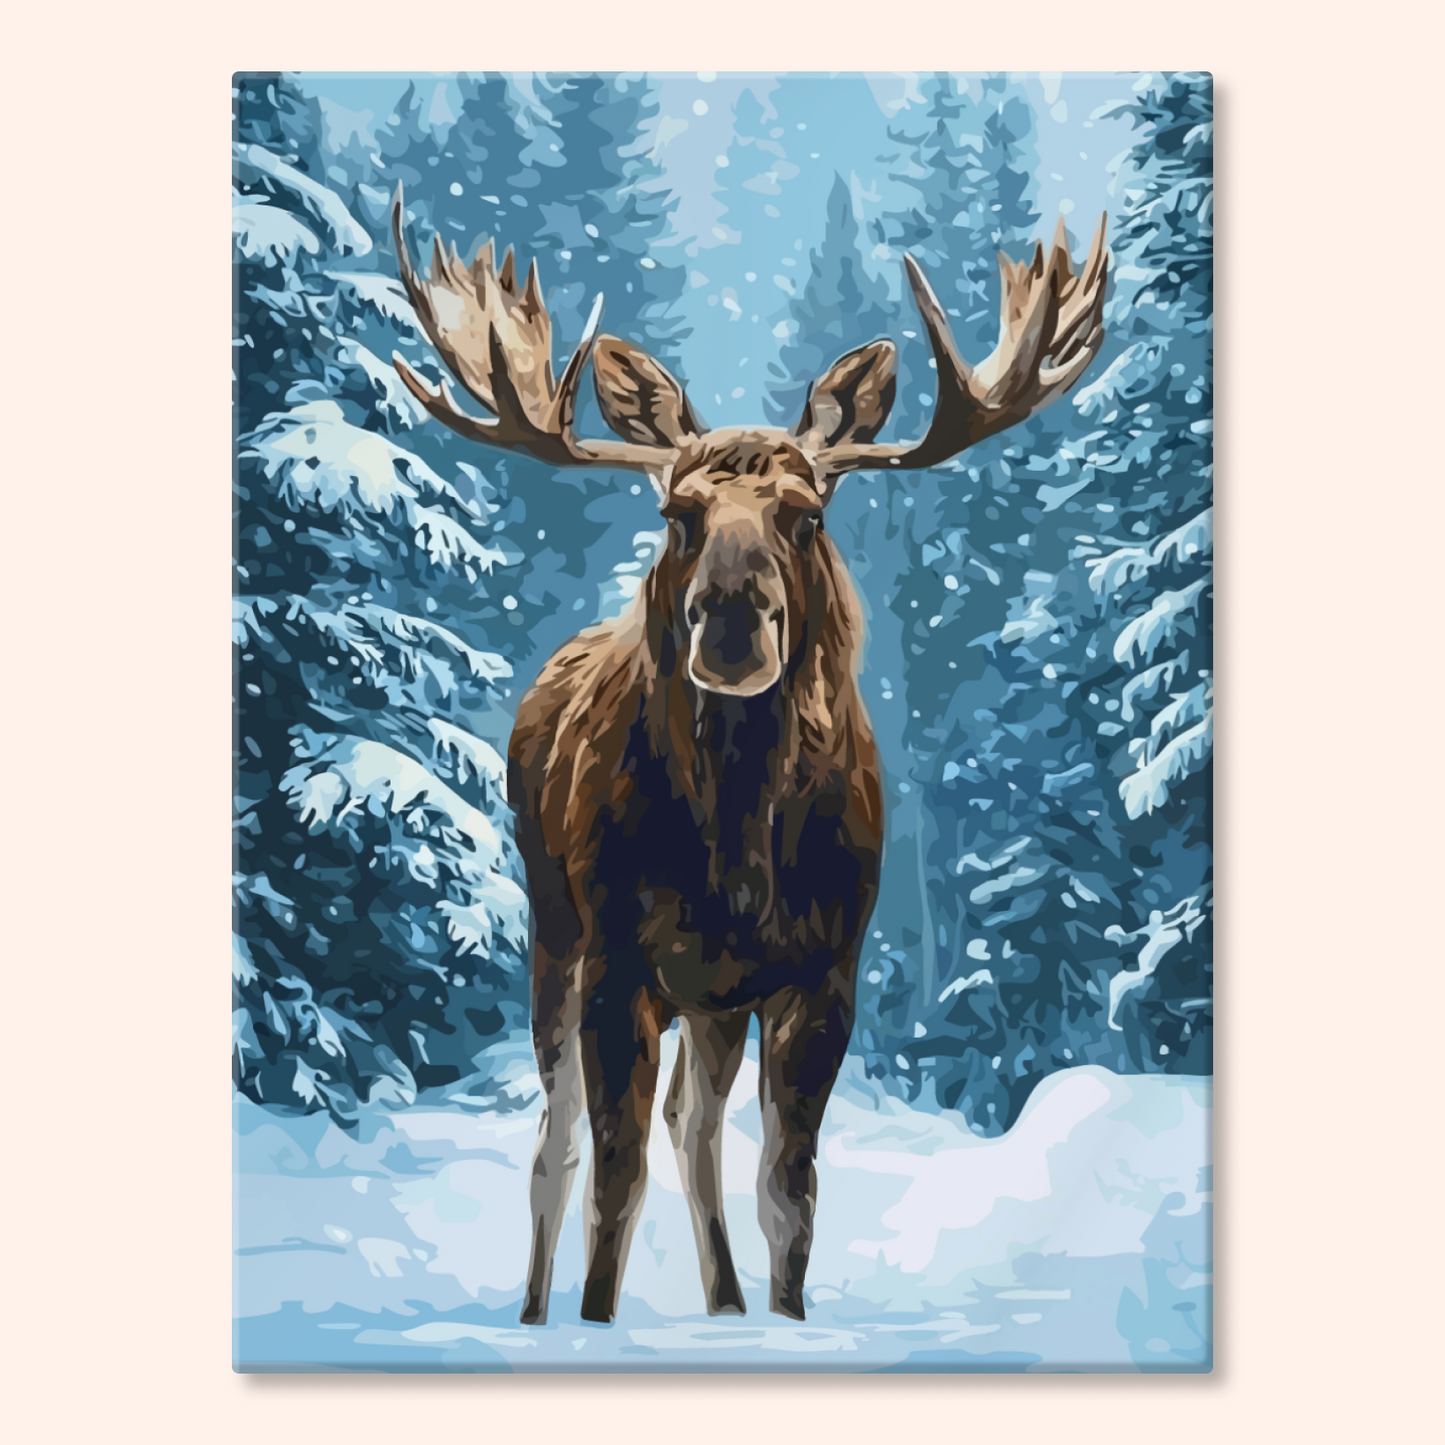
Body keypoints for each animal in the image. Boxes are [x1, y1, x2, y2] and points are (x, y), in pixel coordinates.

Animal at [389, 183, 1109, 1325]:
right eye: (676, 511)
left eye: (806, 512)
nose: (730, 618)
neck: (736, 848)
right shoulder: (619, 954)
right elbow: (614, 1174)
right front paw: (593, 1323)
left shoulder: (822, 968)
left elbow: (789, 1187)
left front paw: (783, 1316)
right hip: (553, 924)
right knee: (557, 1141)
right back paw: (536, 1311)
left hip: (713, 997)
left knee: (693, 1125)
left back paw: (724, 1306)